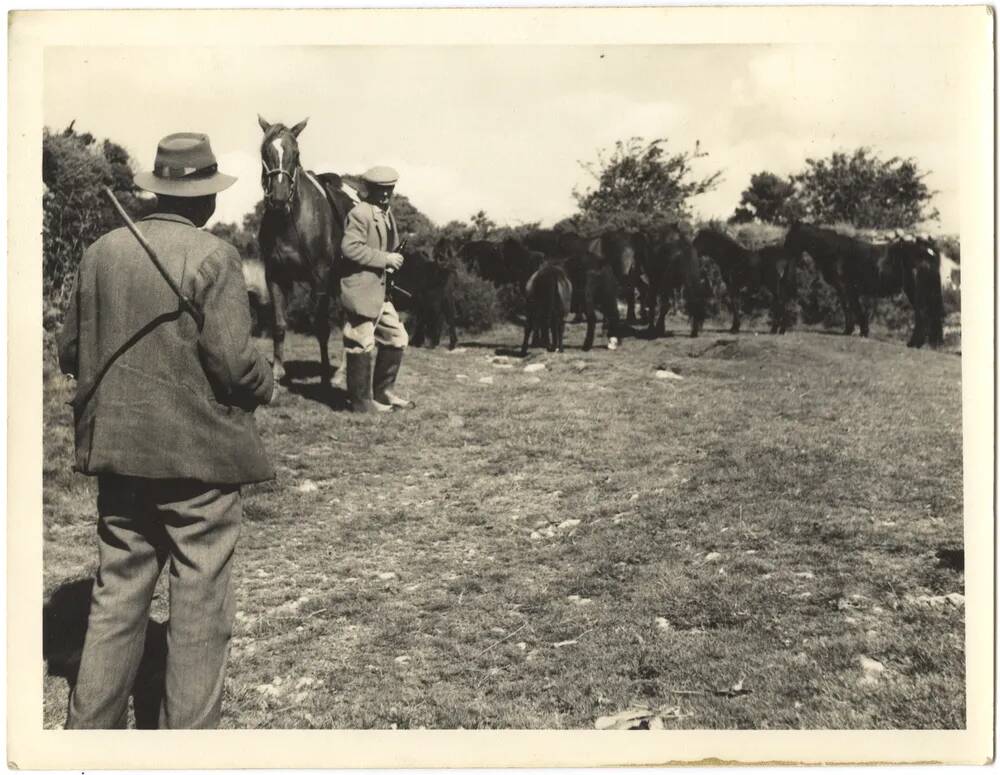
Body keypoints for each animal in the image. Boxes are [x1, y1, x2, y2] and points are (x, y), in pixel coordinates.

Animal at [256, 115, 358, 384]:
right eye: (265, 151)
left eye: (296, 153)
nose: (279, 199)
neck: (291, 221)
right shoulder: (275, 276)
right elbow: (279, 324)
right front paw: (277, 370)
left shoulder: (320, 277)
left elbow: (321, 327)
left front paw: (324, 376)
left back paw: (341, 373)